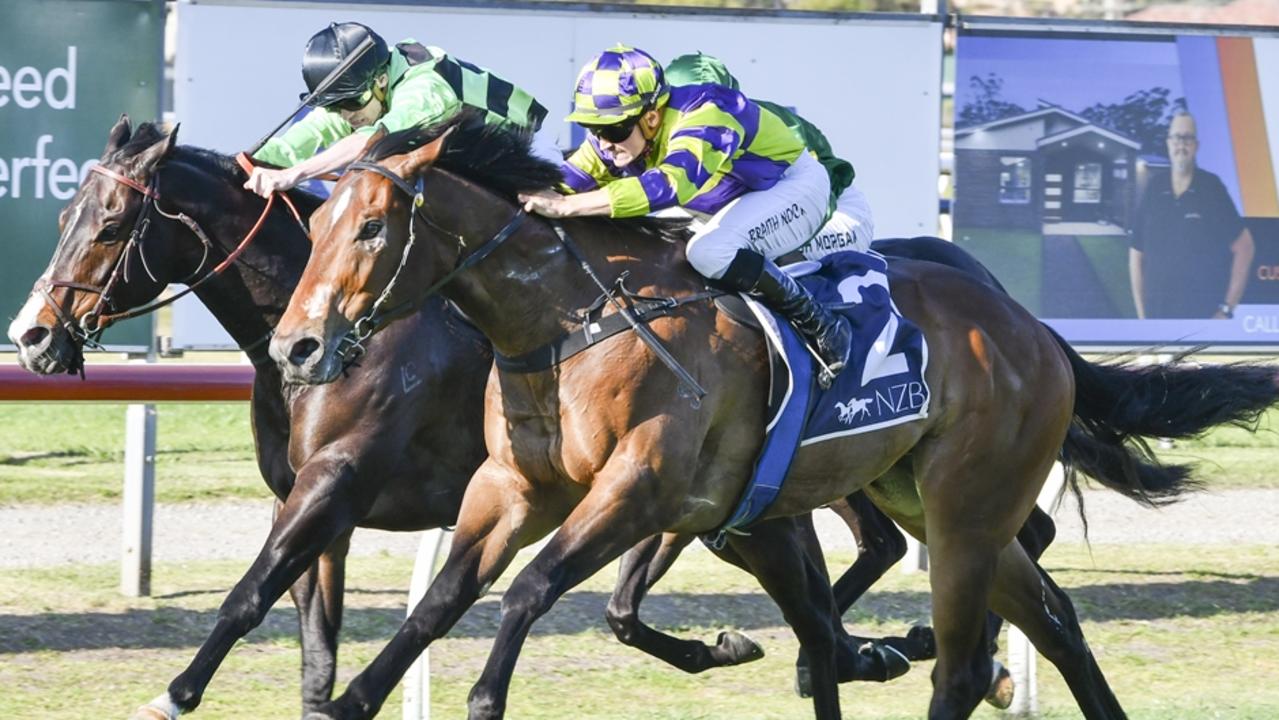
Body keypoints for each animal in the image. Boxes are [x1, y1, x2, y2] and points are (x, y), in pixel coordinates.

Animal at [9, 117, 1048, 716]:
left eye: (109, 226)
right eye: (61, 214)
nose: (33, 336)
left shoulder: (337, 483)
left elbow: (248, 594)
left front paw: (173, 695)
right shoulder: (318, 502)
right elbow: (310, 642)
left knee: (942, 543)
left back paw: (933, 652)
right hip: (761, 505)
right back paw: (891, 652)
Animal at [274, 119, 1279, 720]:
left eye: (371, 228)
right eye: (312, 227)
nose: (296, 346)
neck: (570, 318)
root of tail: (1033, 332)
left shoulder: (638, 490)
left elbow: (528, 590)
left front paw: (485, 697)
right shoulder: (513, 486)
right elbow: (443, 598)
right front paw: (351, 696)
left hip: (965, 515)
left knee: (960, 665)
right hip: (937, 509)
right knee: (1057, 620)